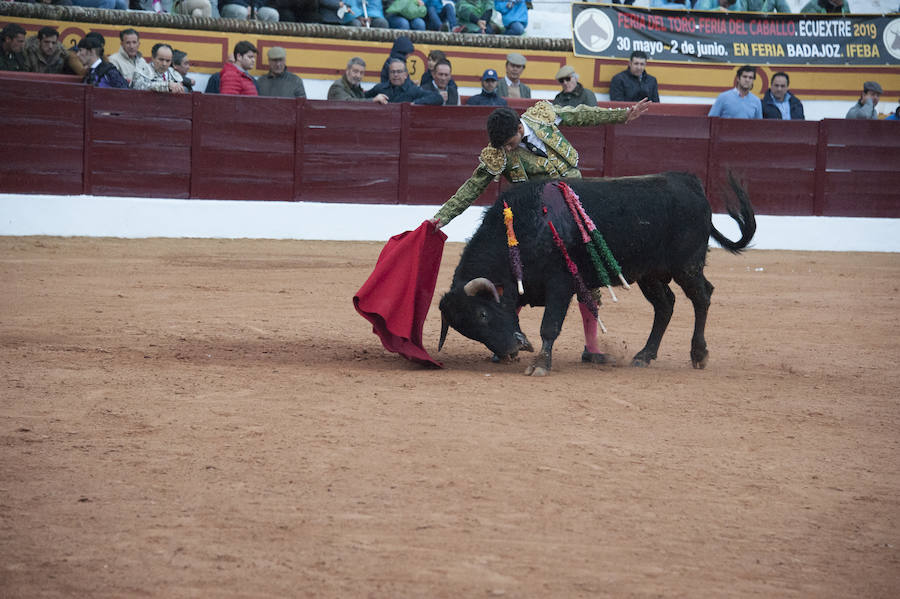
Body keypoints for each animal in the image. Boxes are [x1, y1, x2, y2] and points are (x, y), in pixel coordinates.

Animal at [440, 171, 756, 376]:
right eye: (468, 329)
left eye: (482, 314)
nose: (509, 349)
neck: (523, 227)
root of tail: (689, 182)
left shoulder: (561, 284)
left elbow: (549, 326)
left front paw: (540, 364)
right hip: (649, 274)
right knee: (665, 305)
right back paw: (644, 356)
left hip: (686, 265)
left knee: (702, 297)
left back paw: (698, 354)